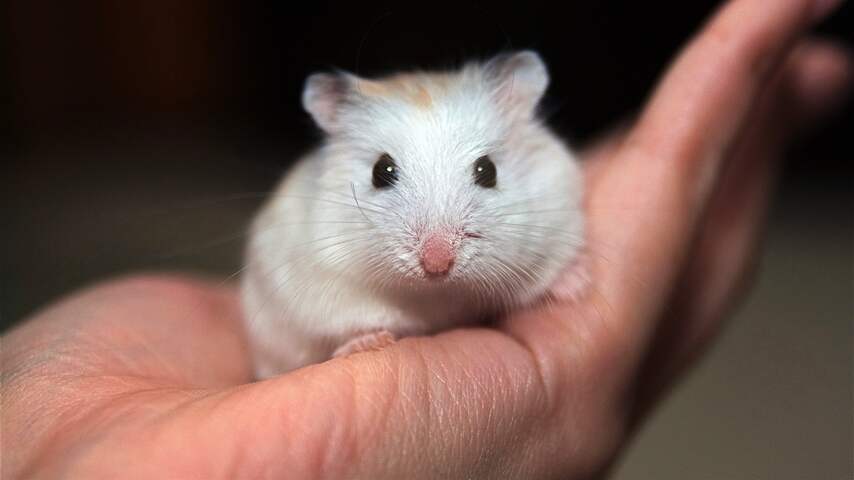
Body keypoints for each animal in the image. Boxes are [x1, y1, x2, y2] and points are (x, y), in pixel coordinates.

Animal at [242, 50, 584, 378]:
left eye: (488, 170)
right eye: (381, 171)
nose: (437, 265)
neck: (436, 292)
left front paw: (577, 284)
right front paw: (367, 342)